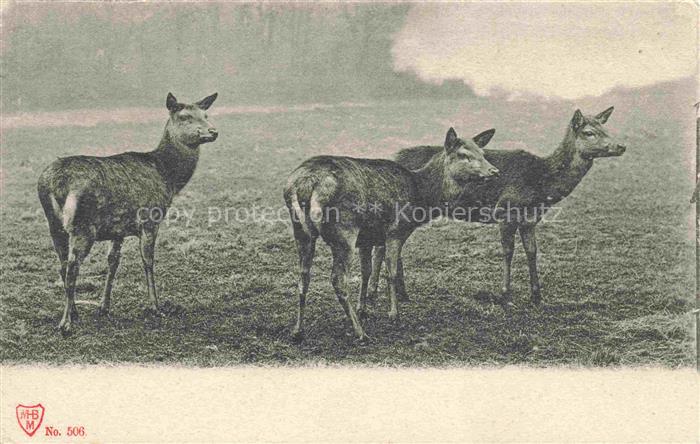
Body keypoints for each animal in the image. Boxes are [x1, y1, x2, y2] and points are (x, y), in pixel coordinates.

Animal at [37, 92, 219, 335]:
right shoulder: (151, 218)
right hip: (82, 226)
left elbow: (113, 261)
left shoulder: (118, 229)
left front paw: (104, 307)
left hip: (55, 225)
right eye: (185, 117)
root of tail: (55, 184)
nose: (213, 131)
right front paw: (156, 307)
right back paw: (65, 323)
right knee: (72, 268)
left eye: (205, 115)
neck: (168, 177)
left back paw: (74, 313)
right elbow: (148, 260)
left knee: (63, 265)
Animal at [284, 127, 499, 341]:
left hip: (300, 229)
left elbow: (367, 271)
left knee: (303, 276)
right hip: (344, 230)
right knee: (338, 279)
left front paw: (363, 309)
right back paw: (360, 332)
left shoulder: (367, 238)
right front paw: (394, 314)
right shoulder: (396, 231)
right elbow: (391, 273)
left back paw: (297, 330)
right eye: (463, 154)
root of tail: (305, 183)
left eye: (482, 153)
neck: (421, 198)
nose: (494, 171)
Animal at [369, 107, 626, 305]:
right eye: (589, 132)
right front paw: (505, 296)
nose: (621, 146)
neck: (542, 183)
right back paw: (375, 295)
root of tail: (394, 156)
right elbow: (508, 252)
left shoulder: (530, 219)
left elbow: (532, 251)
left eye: (607, 129)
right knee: (382, 247)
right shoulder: (506, 210)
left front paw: (536, 297)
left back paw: (402, 294)